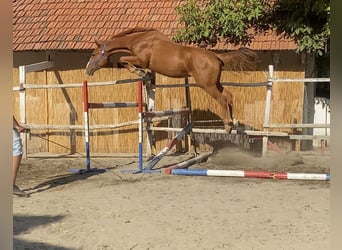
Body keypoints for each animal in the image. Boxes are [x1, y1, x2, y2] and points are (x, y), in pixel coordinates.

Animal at [85, 27, 256, 132]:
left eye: (93, 54)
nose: (88, 70)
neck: (139, 40)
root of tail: (216, 56)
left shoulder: (141, 60)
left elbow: (122, 59)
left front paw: (139, 72)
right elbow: (124, 60)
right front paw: (143, 74)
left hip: (207, 85)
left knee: (222, 99)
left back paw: (228, 125)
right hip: (216, 83)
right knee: (229, 96)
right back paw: (235, 122)